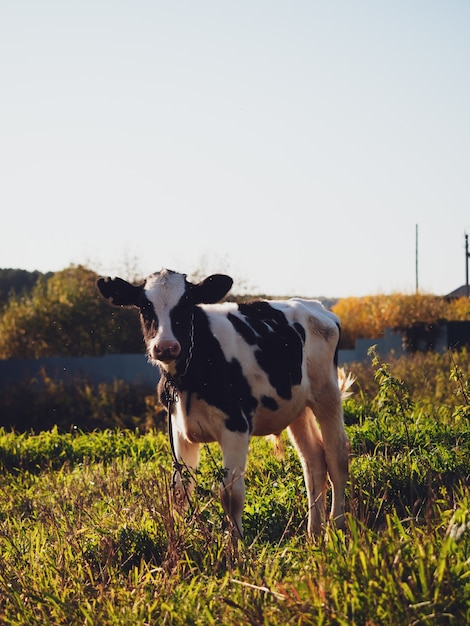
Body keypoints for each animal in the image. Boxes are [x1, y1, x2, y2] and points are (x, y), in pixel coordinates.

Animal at [96, 266, 352, 532]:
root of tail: (313, 305)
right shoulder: (178, 430)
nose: (165, 347)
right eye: (145, 306)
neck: (190, 374)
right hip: (296, 408)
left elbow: (231, 495)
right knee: (313, 461)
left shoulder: (236, 427)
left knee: (337, 456)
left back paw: (337, 526)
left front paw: (236, 544)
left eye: (187, 303)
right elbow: (180, 490)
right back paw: (314, 532)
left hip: (327, 395)